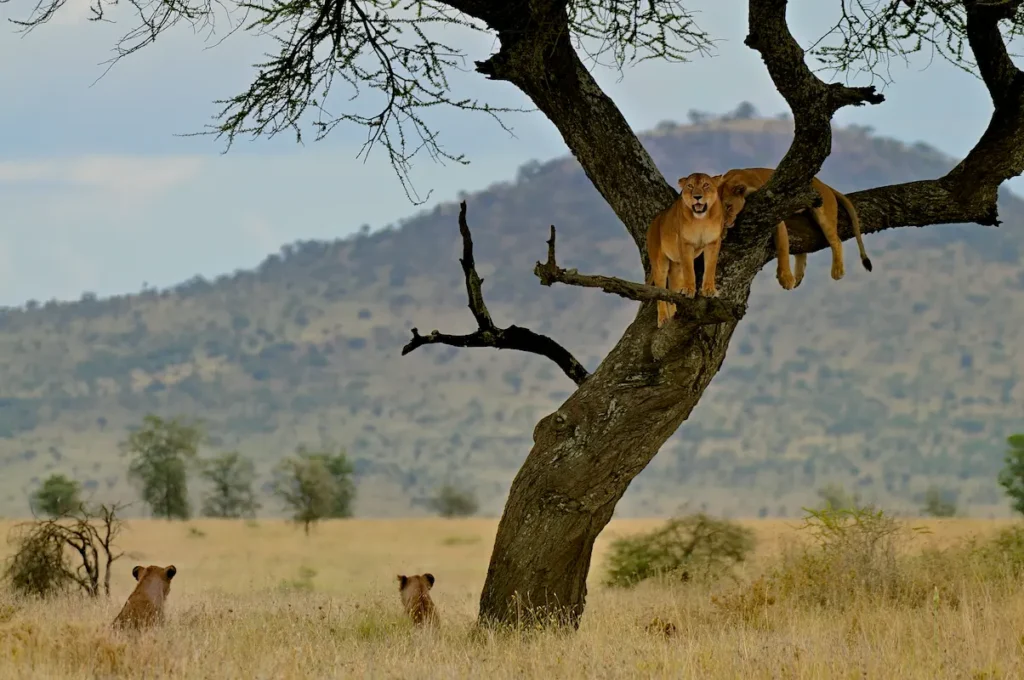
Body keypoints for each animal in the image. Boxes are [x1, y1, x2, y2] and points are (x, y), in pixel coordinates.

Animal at [645, 172, 727, 328]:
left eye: (706, 185)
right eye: (690, 186)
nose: (697, 196)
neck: (701, 220)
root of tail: (654, 220)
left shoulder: (713, 242)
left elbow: (710, 267)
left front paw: (709, 290)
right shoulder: (685, 244)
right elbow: (689, 269)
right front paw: (689, 290)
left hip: (676, 267)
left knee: (672, 291)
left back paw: (674, 313)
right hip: (660, 264)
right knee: (660, 294)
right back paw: (663, 319)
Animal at [717, 167, 872, 290]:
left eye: (728, 206)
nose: (724, 223)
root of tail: (824, 184)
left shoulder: (774, 212)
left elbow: (783, 247)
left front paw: (785, 278)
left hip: (824, 215)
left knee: (836, 241)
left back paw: (837, 270)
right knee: (802, 251)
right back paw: (799, 277)